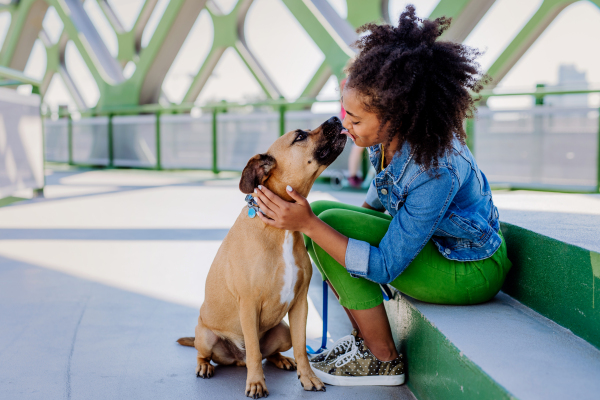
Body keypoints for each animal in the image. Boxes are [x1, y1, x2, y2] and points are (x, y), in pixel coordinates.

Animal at [178, 115, 344, 396]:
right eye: (300, 136)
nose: (335, 117)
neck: (280, 230)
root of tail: (236, 359)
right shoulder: (248, 305)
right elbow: (254, 351)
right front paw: (256, 383)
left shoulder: (300, 305)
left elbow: (302, 348)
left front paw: (307, 377)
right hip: (206, 335)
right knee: (211, 354)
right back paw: (205, 366)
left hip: (283, 330)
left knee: (271, 353)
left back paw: (282, 360)